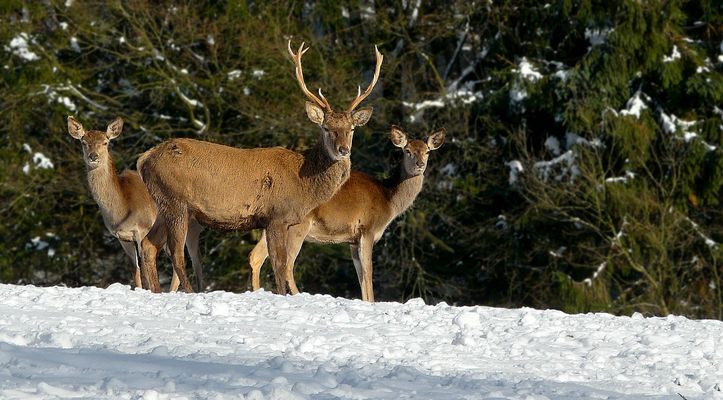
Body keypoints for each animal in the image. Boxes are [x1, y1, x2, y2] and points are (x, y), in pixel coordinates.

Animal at [67, 116, 205, 292]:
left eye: (105, 142)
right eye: (83, 142)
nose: (93, 156)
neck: (122, 210)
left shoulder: (142, 229)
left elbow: (145, 268)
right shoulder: (121, 237)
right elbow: (135, 269)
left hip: (190, 225)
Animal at [136, 40, 383, 294]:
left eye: (351, 129)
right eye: (326, 128)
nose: (343, 150)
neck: (303, 183)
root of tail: (143, 159)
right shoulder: (277, 215)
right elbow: (280, 264)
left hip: (163, 203)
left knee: (148, 244)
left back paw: (156, 291)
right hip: (176, 201)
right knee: (174, 252)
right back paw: (190, 291)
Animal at [247, 125, 445, 302]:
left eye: (427, 151)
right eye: (407, 151)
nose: (420, 164)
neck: (388, 201)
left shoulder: (353, 239)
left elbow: (360, 275)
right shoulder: (367, 229)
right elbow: (368, 271)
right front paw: (371, 303)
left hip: (272, 225)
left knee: (256, 256)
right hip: (298, 226)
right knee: (287, 263)